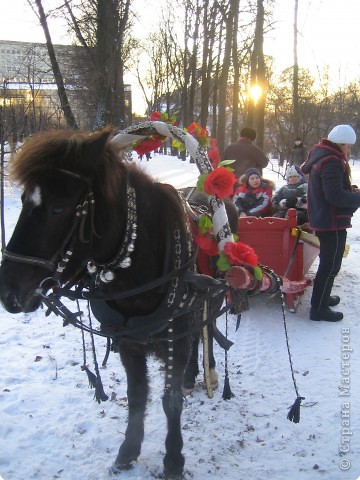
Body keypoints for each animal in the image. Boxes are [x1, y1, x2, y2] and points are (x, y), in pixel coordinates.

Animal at [0, 126, 235, 476]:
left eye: (58, 208)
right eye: (24, 201)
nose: (8, 291)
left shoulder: (173, 338)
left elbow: (170, 400)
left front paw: (173, 459)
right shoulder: (128, 342)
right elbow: (136, 395)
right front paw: (128, 452)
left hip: (210, 299)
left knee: (201, 333)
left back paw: (204, 373)